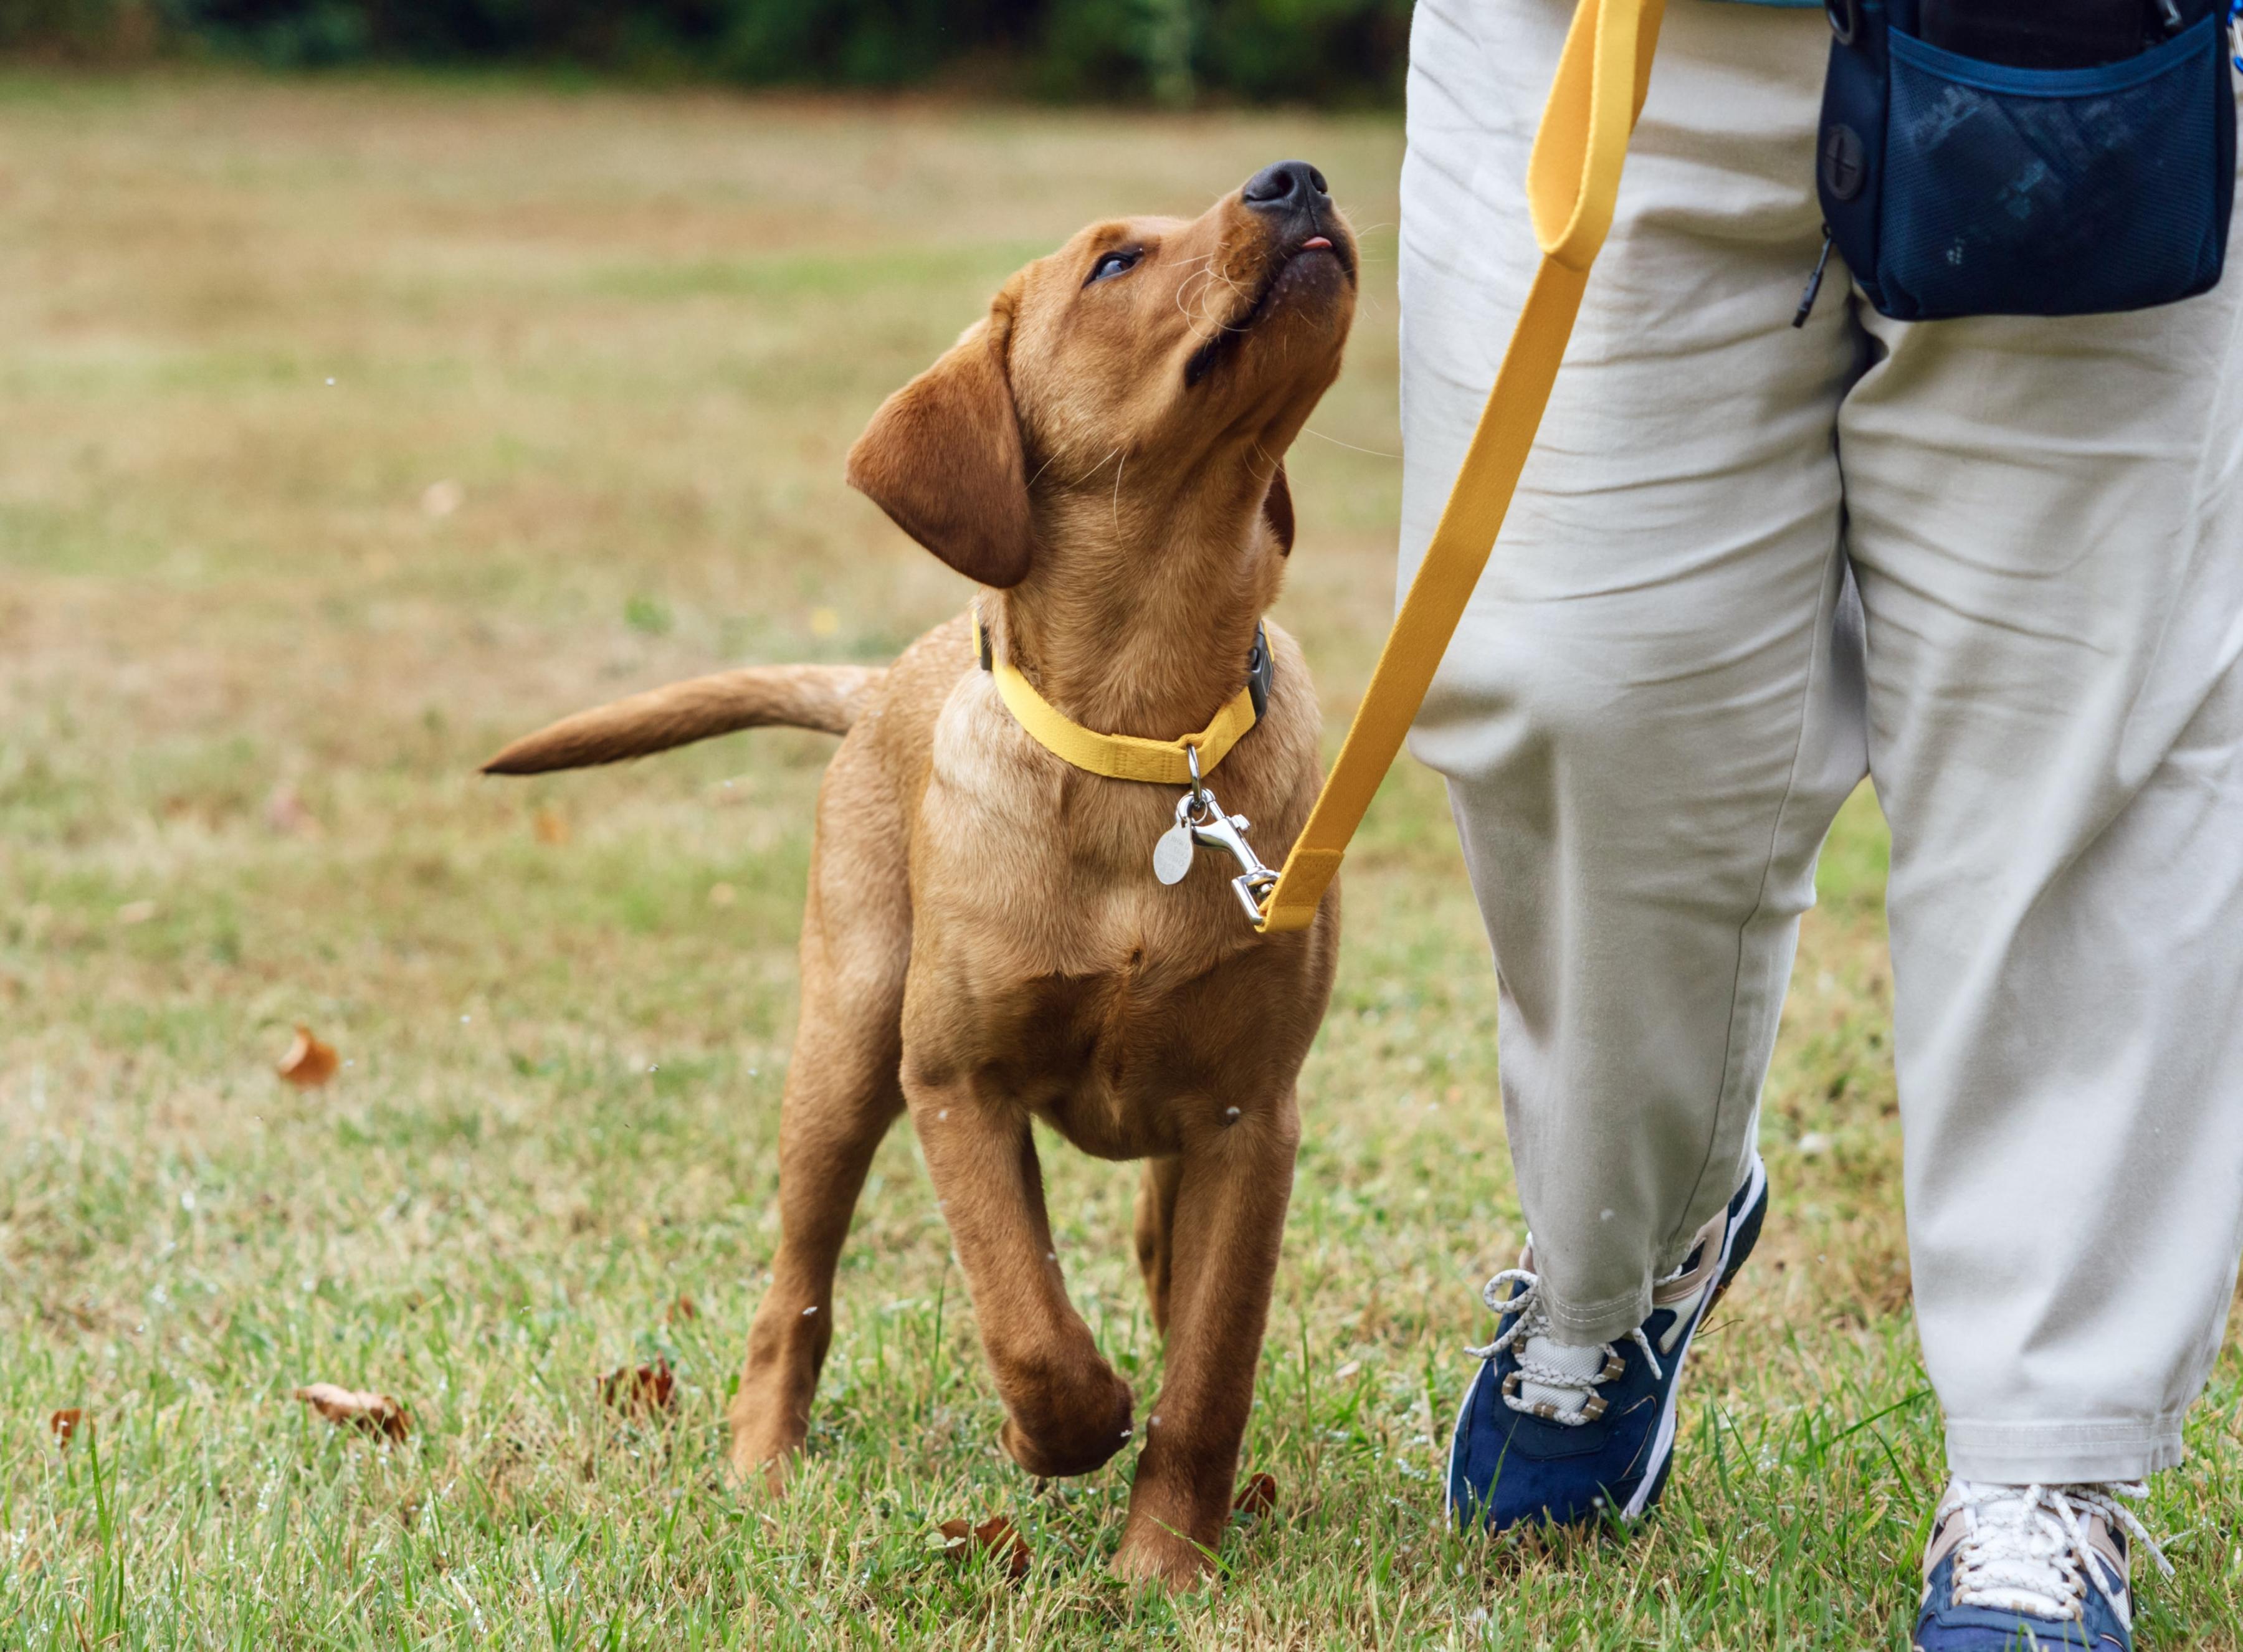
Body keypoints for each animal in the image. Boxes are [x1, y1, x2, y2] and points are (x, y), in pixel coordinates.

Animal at [487, 158, 1346, 1587]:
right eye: (1116, 263)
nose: (1297, 178)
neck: (1146, 741)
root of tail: (883, 676)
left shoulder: (1251, 1113)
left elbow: (1212, 1368)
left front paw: (1163, 1567)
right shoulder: (955, 1078)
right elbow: (1025, 1316)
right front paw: (1060, 1430)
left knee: (1165, 1257)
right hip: (842, 1045)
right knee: (796, 1290)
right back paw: (762, 1464)